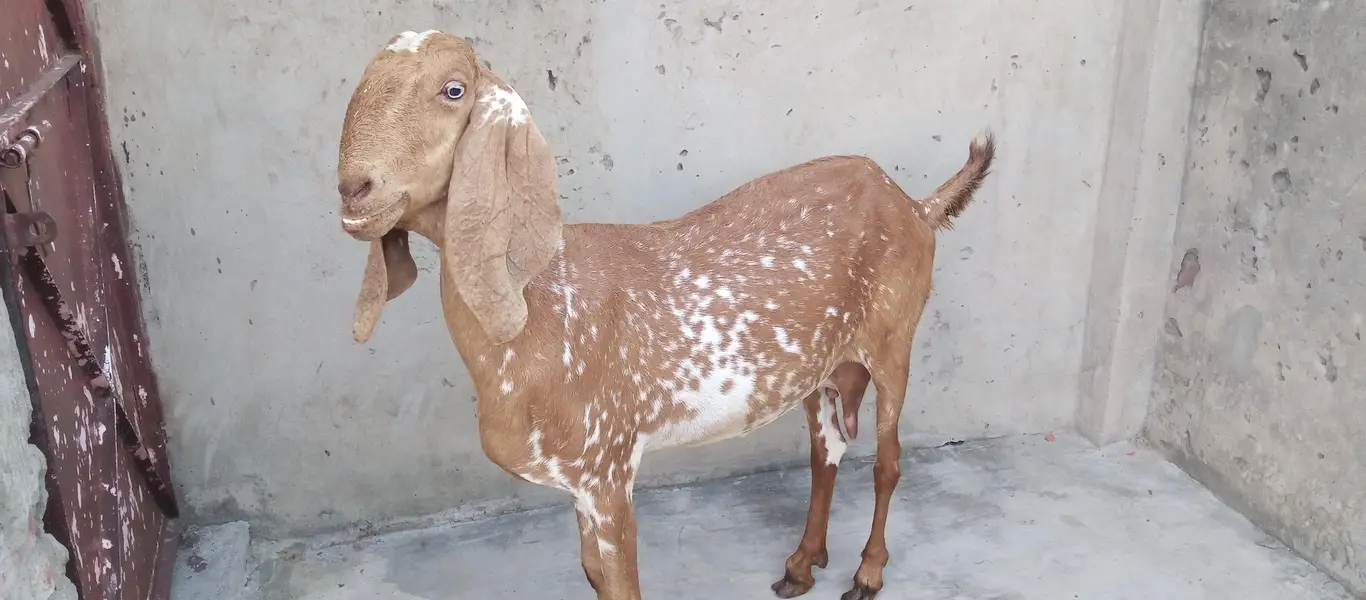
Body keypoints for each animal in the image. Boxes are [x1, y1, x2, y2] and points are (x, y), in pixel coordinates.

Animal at [334, 30, 995, 600]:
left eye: (454, 89)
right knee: (825, 451)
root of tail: (915, 203)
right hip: (822, 369)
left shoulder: (609, 469)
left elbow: (623, 582)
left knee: (887, 462)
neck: (541, 302)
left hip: (892, 341)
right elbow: (593, 575)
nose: (353, 190)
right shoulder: (582, 484)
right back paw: (802, 564)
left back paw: (867, 574)